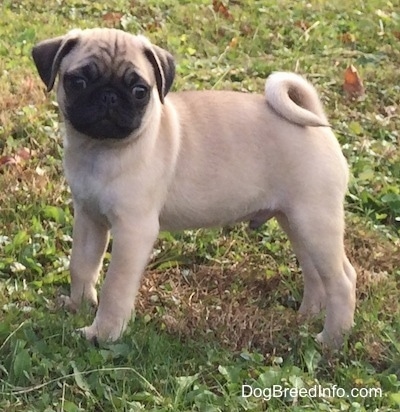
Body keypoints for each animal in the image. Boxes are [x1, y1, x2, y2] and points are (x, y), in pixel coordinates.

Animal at [32, 27, 356, 346]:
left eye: (140, 91)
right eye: (78, 82)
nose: (108, 97)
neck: (100, 149)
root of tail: (317, 120)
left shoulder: (133, 231)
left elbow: (115, 287)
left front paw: (102, 333)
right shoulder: (89, 218)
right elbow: (81, 266)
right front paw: (78, 307)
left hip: (314, 221)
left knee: (342, 281)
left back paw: (331, 339)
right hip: (295, 222)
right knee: (316, 273)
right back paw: (308, 317)